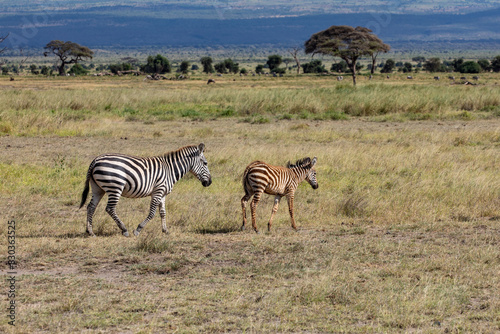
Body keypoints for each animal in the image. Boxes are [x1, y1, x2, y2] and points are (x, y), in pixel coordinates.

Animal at [79, 144, 211, 237]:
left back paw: (90, 231)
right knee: (110, 208)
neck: (170, 170)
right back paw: (124, 230)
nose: (209, 182)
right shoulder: (158, 191)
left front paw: (165, 230)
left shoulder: (163, 193)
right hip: (115, 187)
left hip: (98, 188)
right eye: (205, 163)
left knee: (91, 207)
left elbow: (163, 212)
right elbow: (152, 213)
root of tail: (95, 160)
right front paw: (138, 230)